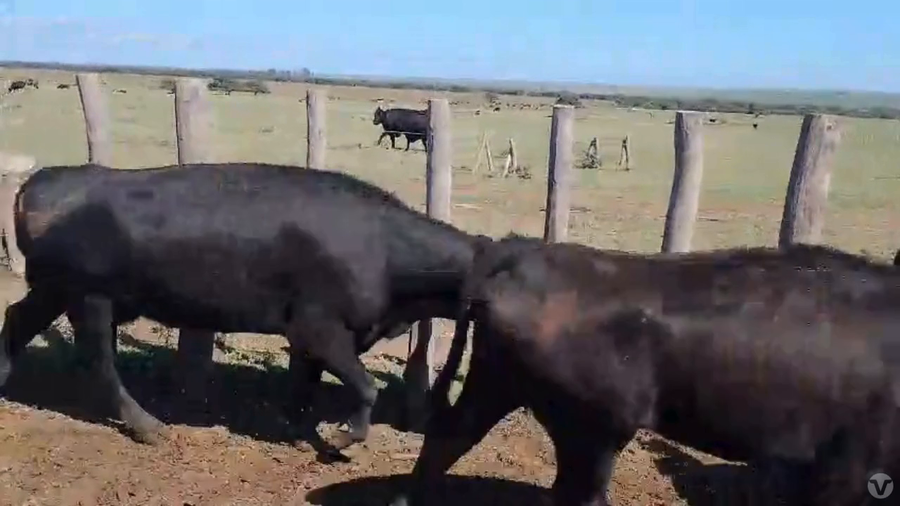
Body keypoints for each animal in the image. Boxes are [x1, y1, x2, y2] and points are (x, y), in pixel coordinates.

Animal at [0, 162, 487, 456]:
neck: (384, 246)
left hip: (55, 292)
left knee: (17, 321)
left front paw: (296, 429)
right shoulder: (320, 328)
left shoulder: (308, 333)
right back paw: (148, 426)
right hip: (91, 298)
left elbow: (304, 383)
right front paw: (342, 436)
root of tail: (47, 182)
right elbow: (366, 387)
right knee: (100, 361)